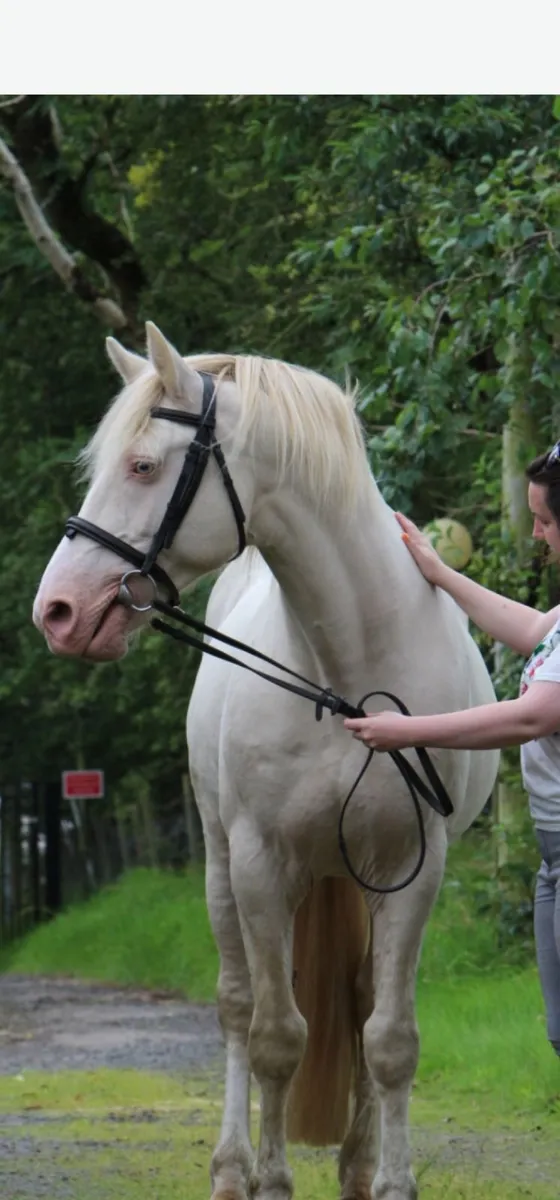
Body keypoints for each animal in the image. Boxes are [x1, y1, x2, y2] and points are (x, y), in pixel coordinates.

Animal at [33, 322, 499, 1200]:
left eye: (140, 466)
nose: (58, 611)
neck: (345, 671)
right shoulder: (259, 865)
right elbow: (277, 1035)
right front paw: (271, 1180)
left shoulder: (414, 869)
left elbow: (389, 1039)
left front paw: (390, 1181)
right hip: (224, 867)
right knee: (239, 1008)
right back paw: (230, 1166)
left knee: (355, 1006)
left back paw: (355, 1164)